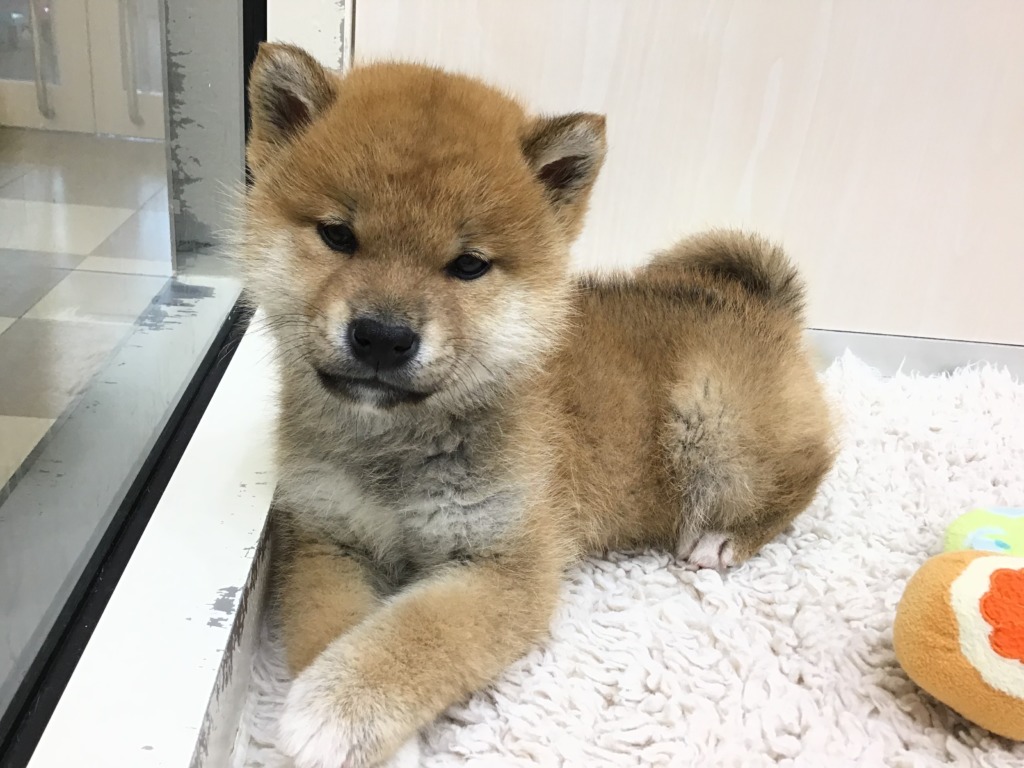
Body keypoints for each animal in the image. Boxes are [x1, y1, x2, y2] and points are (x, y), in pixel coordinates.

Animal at [238, 43, 835, 768]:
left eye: (468, 265)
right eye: (337, 235)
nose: (382, 336)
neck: (395, 443)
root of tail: (760, 304)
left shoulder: (506, 564)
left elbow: (416, 635)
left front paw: (339, 709)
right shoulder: (326, 540)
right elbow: (330, 628)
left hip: (714, 428)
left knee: (803, 476)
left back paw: (721, 539)